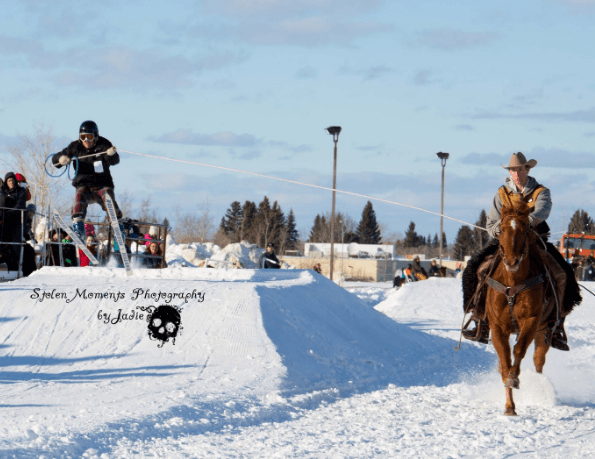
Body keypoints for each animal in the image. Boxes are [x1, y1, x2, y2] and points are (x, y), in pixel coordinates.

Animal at [486, 201, 556, 416]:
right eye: (501, 229)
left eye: (525, 230)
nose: (512, 261)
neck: (512, 283)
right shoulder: (497, 327)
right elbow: (505, 359)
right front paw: (509, 405)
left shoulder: (531, 322)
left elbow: (518, 350)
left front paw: (513, 379)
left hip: (544, 330)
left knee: (538, 359)